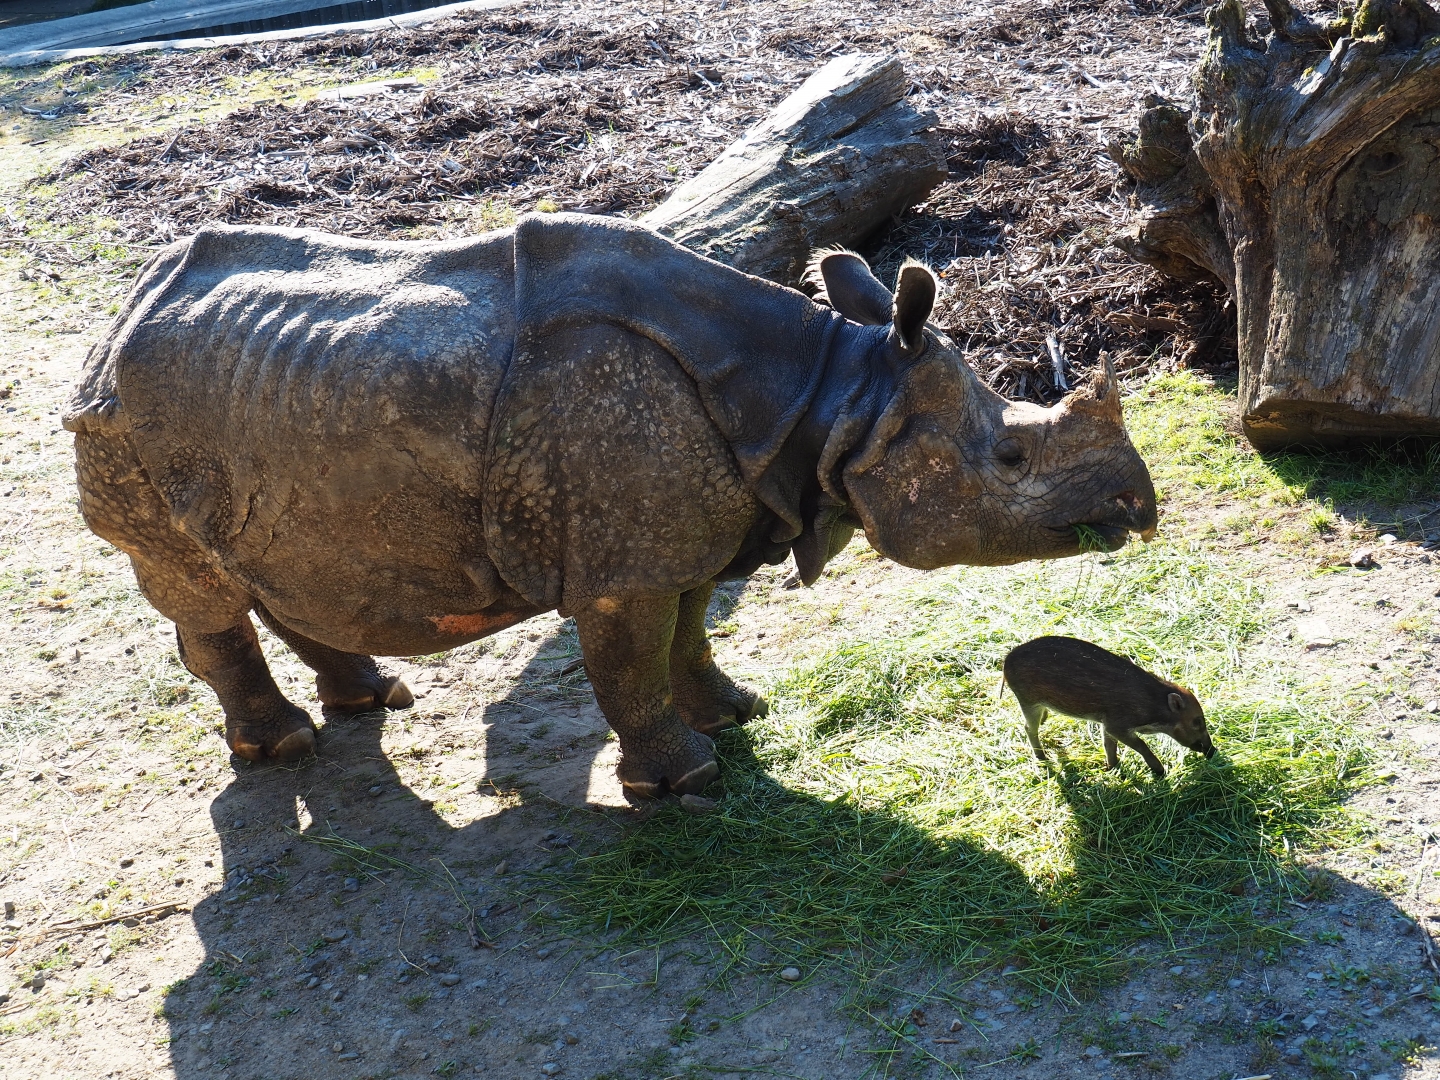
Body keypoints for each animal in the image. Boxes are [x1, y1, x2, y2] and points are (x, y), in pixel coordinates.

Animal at [66, 213, 1157, 798]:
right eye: (1009, 456)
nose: (1139, 508)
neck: (839, 397)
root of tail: (118, 316)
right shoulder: (624, 556)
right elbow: (632, 654)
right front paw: (683, 783)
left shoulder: (692, 526)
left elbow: (689, 632)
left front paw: (733, 716)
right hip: (123, 424)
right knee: (198, 583)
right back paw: (286, 747)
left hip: (259, 403)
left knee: (272, 565)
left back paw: (372, 699)